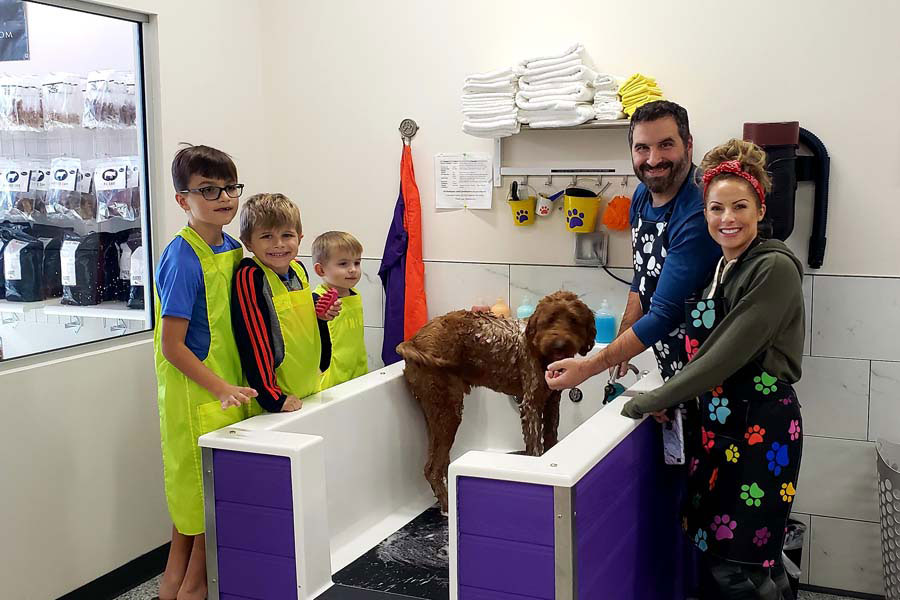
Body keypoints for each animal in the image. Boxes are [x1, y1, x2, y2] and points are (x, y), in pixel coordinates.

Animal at [396, 290, 596, 510]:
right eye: (550, 320)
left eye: (573, 320)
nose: (559, 345)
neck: (541, 353)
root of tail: (413, 341)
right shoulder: (531, 403)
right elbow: (535, 446)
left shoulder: (552, 401)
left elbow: (551, 438)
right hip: (448, 409)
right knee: (433, 468)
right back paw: (448, 507)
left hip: (435, 411)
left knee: (436, 464)